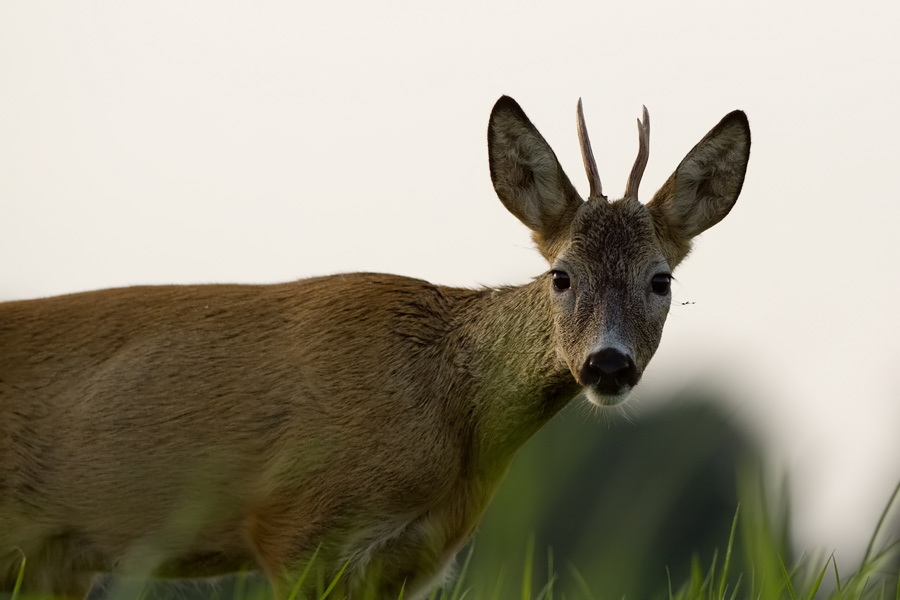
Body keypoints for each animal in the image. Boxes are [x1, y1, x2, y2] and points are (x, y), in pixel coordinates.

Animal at [0, 96, 748, 596]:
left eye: (661, 280)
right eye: (562, 275)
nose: (608, 364)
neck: (447, 414)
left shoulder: (412, 562)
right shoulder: (293, 525)